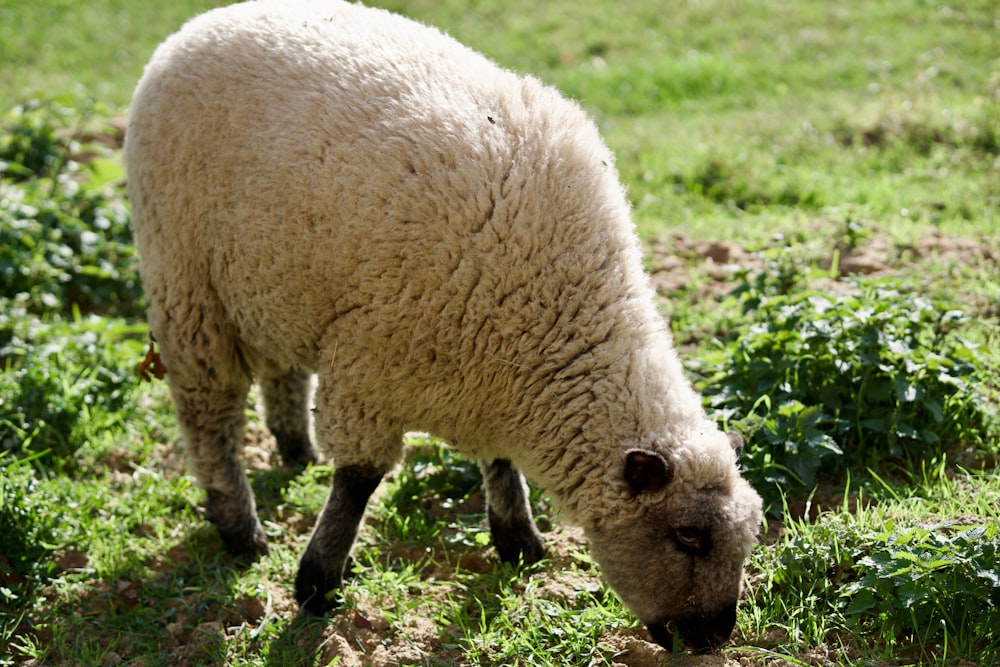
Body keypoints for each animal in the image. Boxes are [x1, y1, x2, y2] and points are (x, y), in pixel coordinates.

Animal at [125, 0, 764, 648]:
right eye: (688, 536)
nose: (714, 639)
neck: (557, 314)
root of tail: (205, 22)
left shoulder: (484, 370)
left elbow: (500, 462)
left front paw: (519, 541)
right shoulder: (371, 370)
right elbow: (358, 481)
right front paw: (317, 582)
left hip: (277, 284)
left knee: (281, 371)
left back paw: (296, 452)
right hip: (187, 281)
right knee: (208, 413)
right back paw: (239, 527)